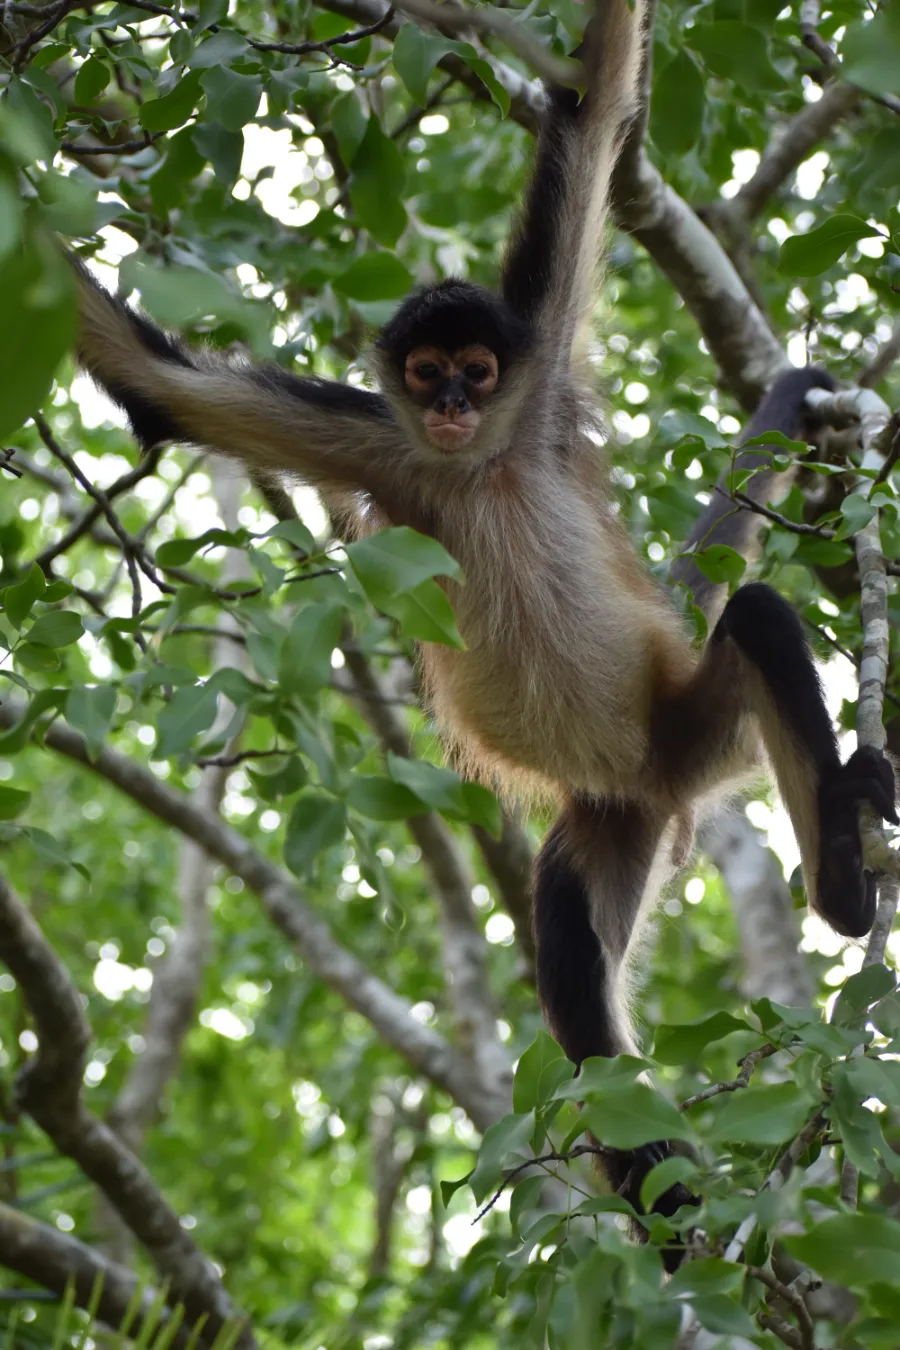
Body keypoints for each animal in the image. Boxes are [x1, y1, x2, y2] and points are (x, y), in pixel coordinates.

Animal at [73, 2, 895, 1236]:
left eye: (473, 366)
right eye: (425, 372)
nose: (457, 405)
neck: (478, 468)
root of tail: (655, 775)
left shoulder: (535, 380)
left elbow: (593, 108)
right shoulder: (385, 447)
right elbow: (151, 379)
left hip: (700, 725)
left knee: (752, 612)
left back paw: (841, 879)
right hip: (612, 824)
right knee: (571, 969)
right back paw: (675, 1213)